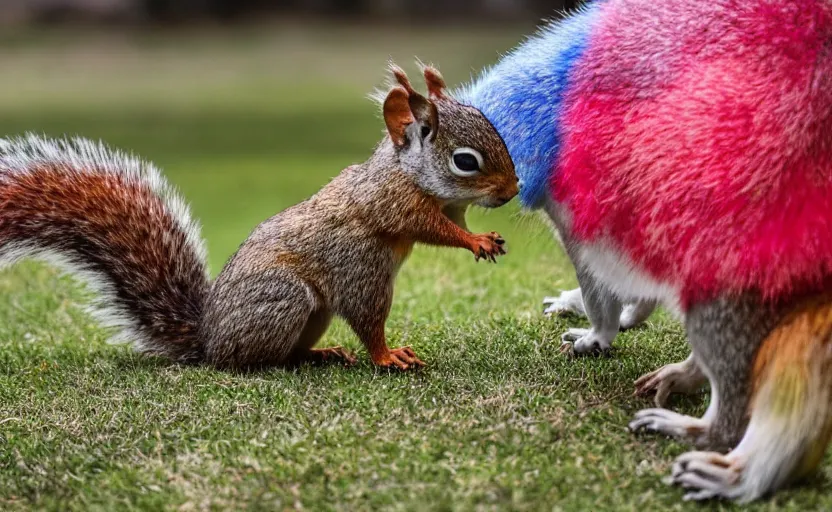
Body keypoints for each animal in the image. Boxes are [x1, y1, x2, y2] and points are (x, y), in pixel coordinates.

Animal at [0, 65, 520, 372]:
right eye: (465, 161)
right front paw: (389, 356)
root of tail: (208, 339)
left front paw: (483, 237)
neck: (407, 173)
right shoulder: (389, 208)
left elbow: (452, 224)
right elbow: (428, 235)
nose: (513, 190)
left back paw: (321, 352)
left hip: (314, 312)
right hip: (291, 296)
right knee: (253, 359)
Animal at [458, 0, 832, 502]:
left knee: (720, 312)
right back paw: (695, 380)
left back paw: (716, 435)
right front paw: (625, 313)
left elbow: (598, 269)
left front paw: (601, 329)